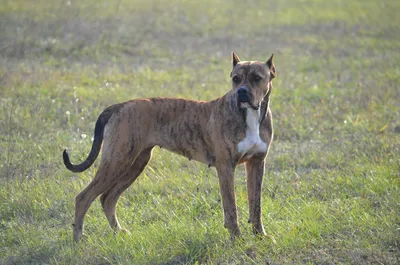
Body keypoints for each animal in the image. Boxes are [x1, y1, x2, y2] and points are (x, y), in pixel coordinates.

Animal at [63, 52, 276, 241]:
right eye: (235, 79)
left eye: (257, 78)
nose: (241, 92)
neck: (250, 116)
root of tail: (120, 106)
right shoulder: (225, 167)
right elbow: (231, 208)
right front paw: (236, 239)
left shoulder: (257, 164)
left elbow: (255, 204)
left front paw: (260, 236)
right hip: (117, 161)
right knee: (83, 198)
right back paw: (78, 238)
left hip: (134, 164)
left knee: (107, 198)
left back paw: (118, 231)